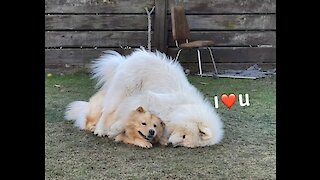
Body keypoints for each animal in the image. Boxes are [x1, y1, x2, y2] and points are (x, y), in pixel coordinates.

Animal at [91, 47, 224, 148]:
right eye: (184, 136)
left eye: (184, 142)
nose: (171, 144)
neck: (182, 107)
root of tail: (125, 60)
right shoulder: (147, 99)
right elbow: (127, 115)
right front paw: (114, 130)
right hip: (123, 92)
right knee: (106, 111)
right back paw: (100, 130)